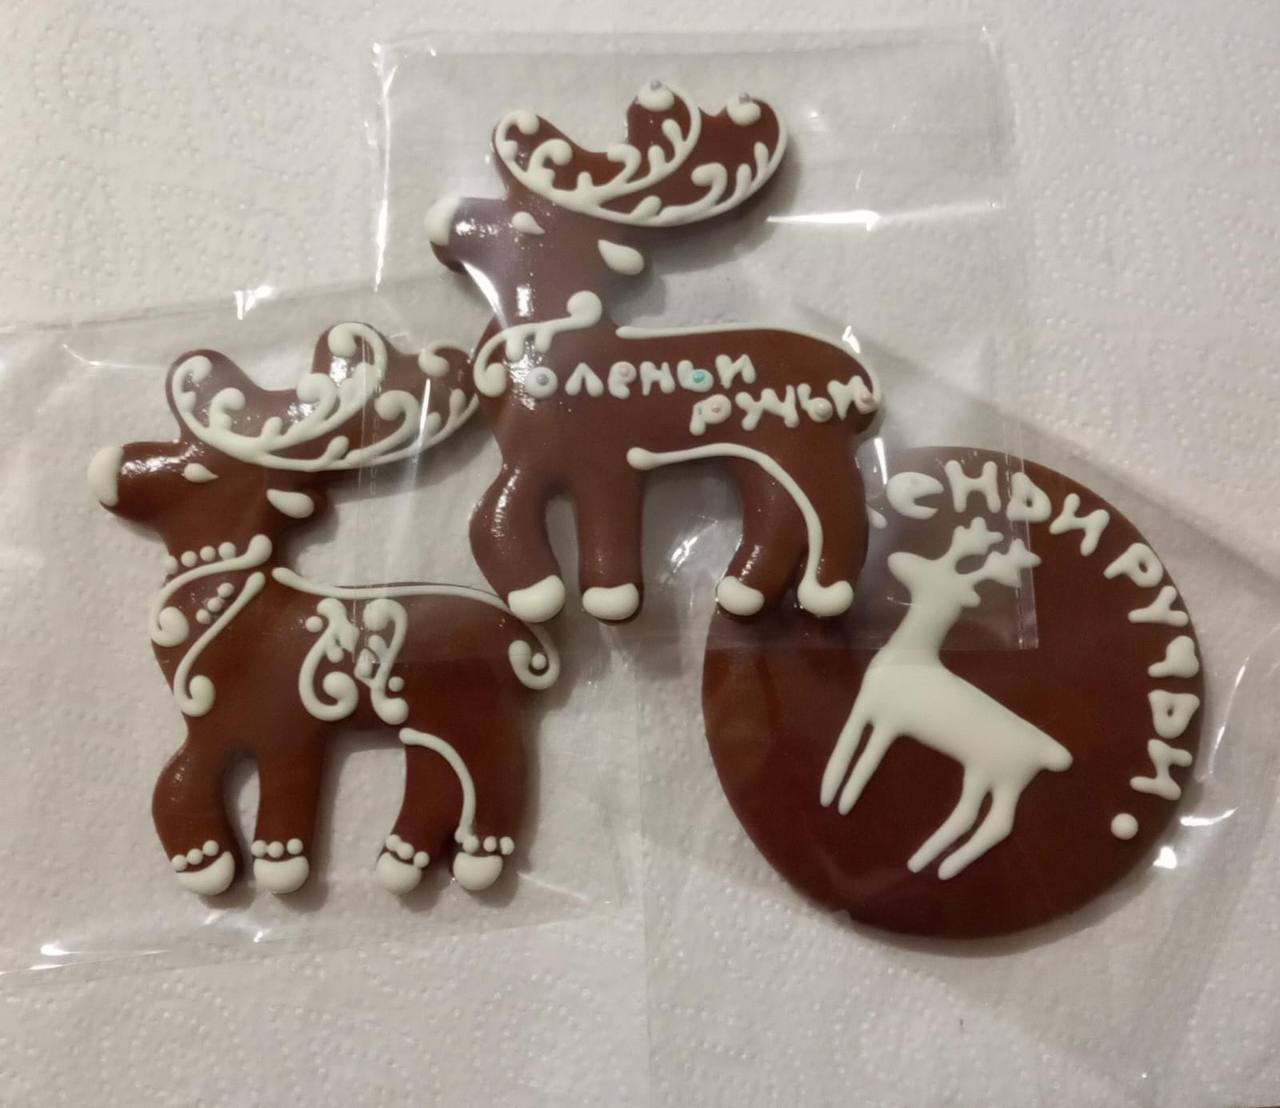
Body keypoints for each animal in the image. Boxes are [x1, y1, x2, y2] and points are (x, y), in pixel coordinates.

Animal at [87, 322, 558, 899]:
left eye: (197, 470)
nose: (112, 464)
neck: (233, 607)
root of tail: (520, 639)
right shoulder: (212, 726)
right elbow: (174, 782)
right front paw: (204, 858)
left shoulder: (286, 726)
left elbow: (277, 794)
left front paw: (275, 861)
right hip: (425, 718)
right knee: (436, 774)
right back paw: (405, 858)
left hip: (471, 710)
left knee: (495, 770)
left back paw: (477, 855)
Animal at [426, 80, 881, 626]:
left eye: (523, 221)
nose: (442, 218)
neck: (550, 344)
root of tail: (859, 384)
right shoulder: (532, 457)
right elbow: (492, 516)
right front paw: (533, 588)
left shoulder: (604, 460)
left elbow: (605, 525)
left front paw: (607, 594)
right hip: (760, 457)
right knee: (777, 512)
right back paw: (744, 590)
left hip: (807, 445)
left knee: (839, 510)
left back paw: (825, 590)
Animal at [820, 518, 1074, 880]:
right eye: (932, 563)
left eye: (930, 573)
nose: (896, 558)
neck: (911, 657)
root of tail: (1048, 753)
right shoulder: (870, 708)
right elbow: (851, 745)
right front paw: (834, 794)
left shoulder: (889, 718)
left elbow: (864, 755)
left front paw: (842, 799)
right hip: (996, 777)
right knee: (986, 817)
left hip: (998, 771)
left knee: (991, 821)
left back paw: (934, 863)